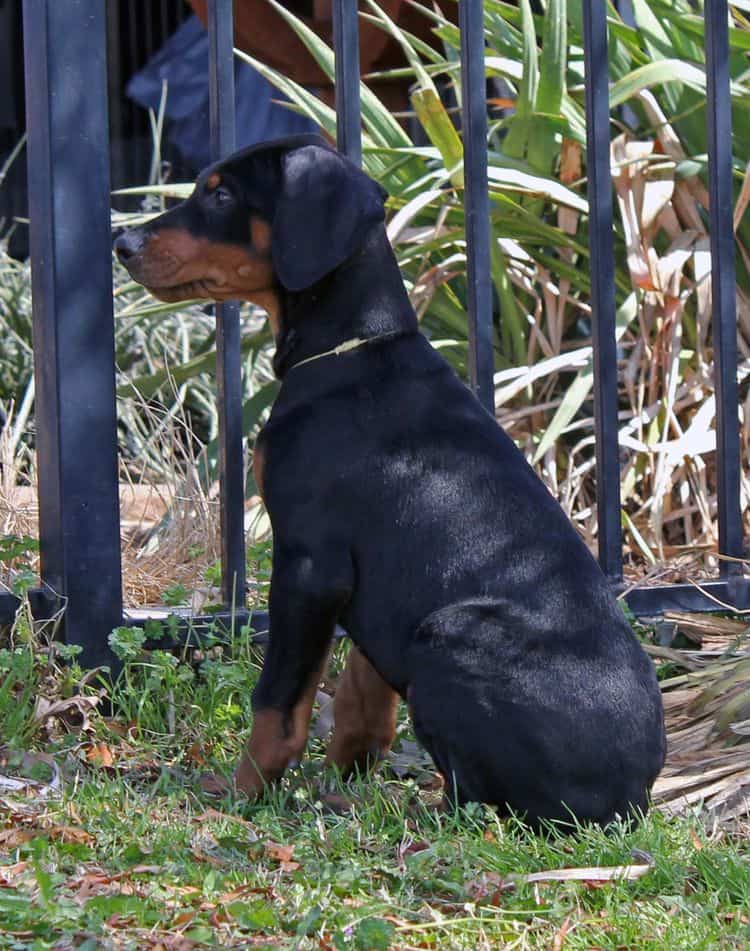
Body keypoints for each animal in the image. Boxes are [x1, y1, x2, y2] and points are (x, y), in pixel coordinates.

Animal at [114, 134, 668, 824]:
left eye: (220, 195)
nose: (123, 244)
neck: (355, 347)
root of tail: (629, 802)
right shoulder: (368, 586)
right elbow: (363, 692)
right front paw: (345, 778)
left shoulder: (310, 564)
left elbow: (278, 703)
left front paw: (244, 793)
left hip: (448, 633)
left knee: (482, 808)